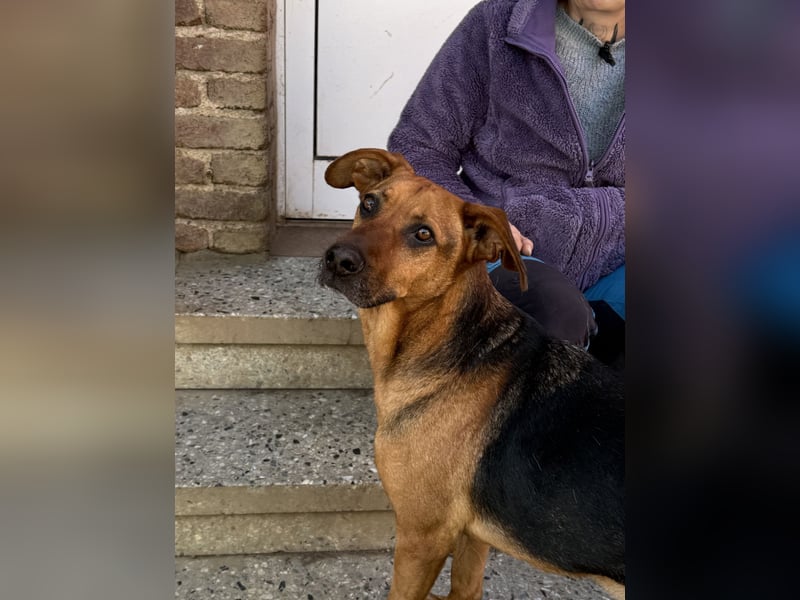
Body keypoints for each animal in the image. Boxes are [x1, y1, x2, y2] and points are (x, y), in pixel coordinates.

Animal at [318, 148, 624, 600]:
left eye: (423, 234)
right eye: (369, 204)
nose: (337, 259)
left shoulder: (422, 538)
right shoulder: (472, 536)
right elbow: (466, 588)